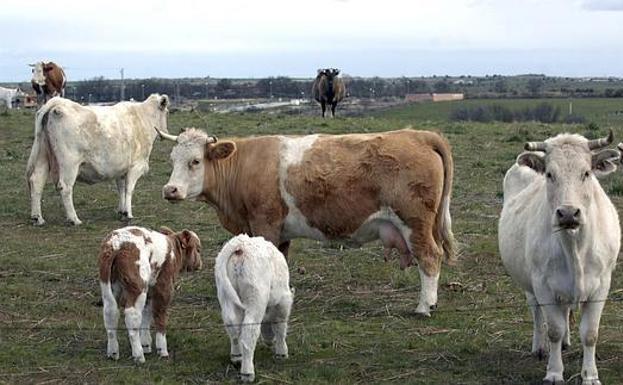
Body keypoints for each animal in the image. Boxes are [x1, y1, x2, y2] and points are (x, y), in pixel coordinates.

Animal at [26, 94, 169, 225]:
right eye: (166, 112)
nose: (165, 132)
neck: (143, 119)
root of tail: (58, 103)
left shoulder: (121, 168)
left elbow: (121, 189)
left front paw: (121, 211)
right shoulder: (136, 166)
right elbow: (129, 189)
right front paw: (128, 213)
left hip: (43, 156)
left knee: (37, 181)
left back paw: (37, 218)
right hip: (69, 163)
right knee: (65, 187)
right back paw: (74, 219)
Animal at [98, 224, 202, 362]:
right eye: (198, 249)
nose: (199, 264)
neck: (173, 252)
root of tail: (116, 244)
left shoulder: (150, 289)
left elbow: (146, 313)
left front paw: (146, 344)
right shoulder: (164, 287)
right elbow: (159, 315)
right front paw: (162, 349)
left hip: (109, 285)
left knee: (110, 312)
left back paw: (113, 352)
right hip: (138, 285)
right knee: (132, 315)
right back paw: (138, 355)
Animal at [158, 126, 456, 316]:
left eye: (195, 161)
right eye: (172, 159)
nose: (170, 190)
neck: (243, 166)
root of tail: (419, 135)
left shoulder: (264, 224)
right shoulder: (280, 233)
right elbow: (280, 262)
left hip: (414, 223)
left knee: (430, 257)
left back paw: (424, 307)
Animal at [214, 234, 294, 380]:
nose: (269, 342)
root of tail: (239, 246)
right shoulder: (283, 302)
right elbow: (280, 326)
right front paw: (282, 352)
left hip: (225, 295)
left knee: (232, 326)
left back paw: (236, 357)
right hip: (255, 299)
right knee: (249, 331)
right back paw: (247, 372)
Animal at [500, 132, 620, 384]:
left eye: (586, 173)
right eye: (549, 174)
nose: (567, 213)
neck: (574, 245)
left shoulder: (601, 285)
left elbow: (590, 334)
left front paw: (590, 375)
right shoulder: (543, 285)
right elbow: (554, 329)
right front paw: (554, 372)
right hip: (529, 282)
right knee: (536, 312)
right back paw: (539, 346)